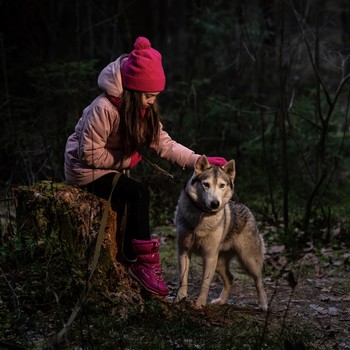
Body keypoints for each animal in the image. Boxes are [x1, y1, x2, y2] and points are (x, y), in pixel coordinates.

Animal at [175, 154, 268, 310]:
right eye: (206, 184)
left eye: (222, 185)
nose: (215, 204)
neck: (200, 217)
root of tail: (245, 207)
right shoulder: (184, 252)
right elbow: (183, 281)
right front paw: (179, 300)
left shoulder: (209, 256)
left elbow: (205, 284)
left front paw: (199, 305)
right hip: (219, 263)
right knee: (230, 278)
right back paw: (221, 301)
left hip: (248, 261)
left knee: (258, 280)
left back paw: (263, 304)